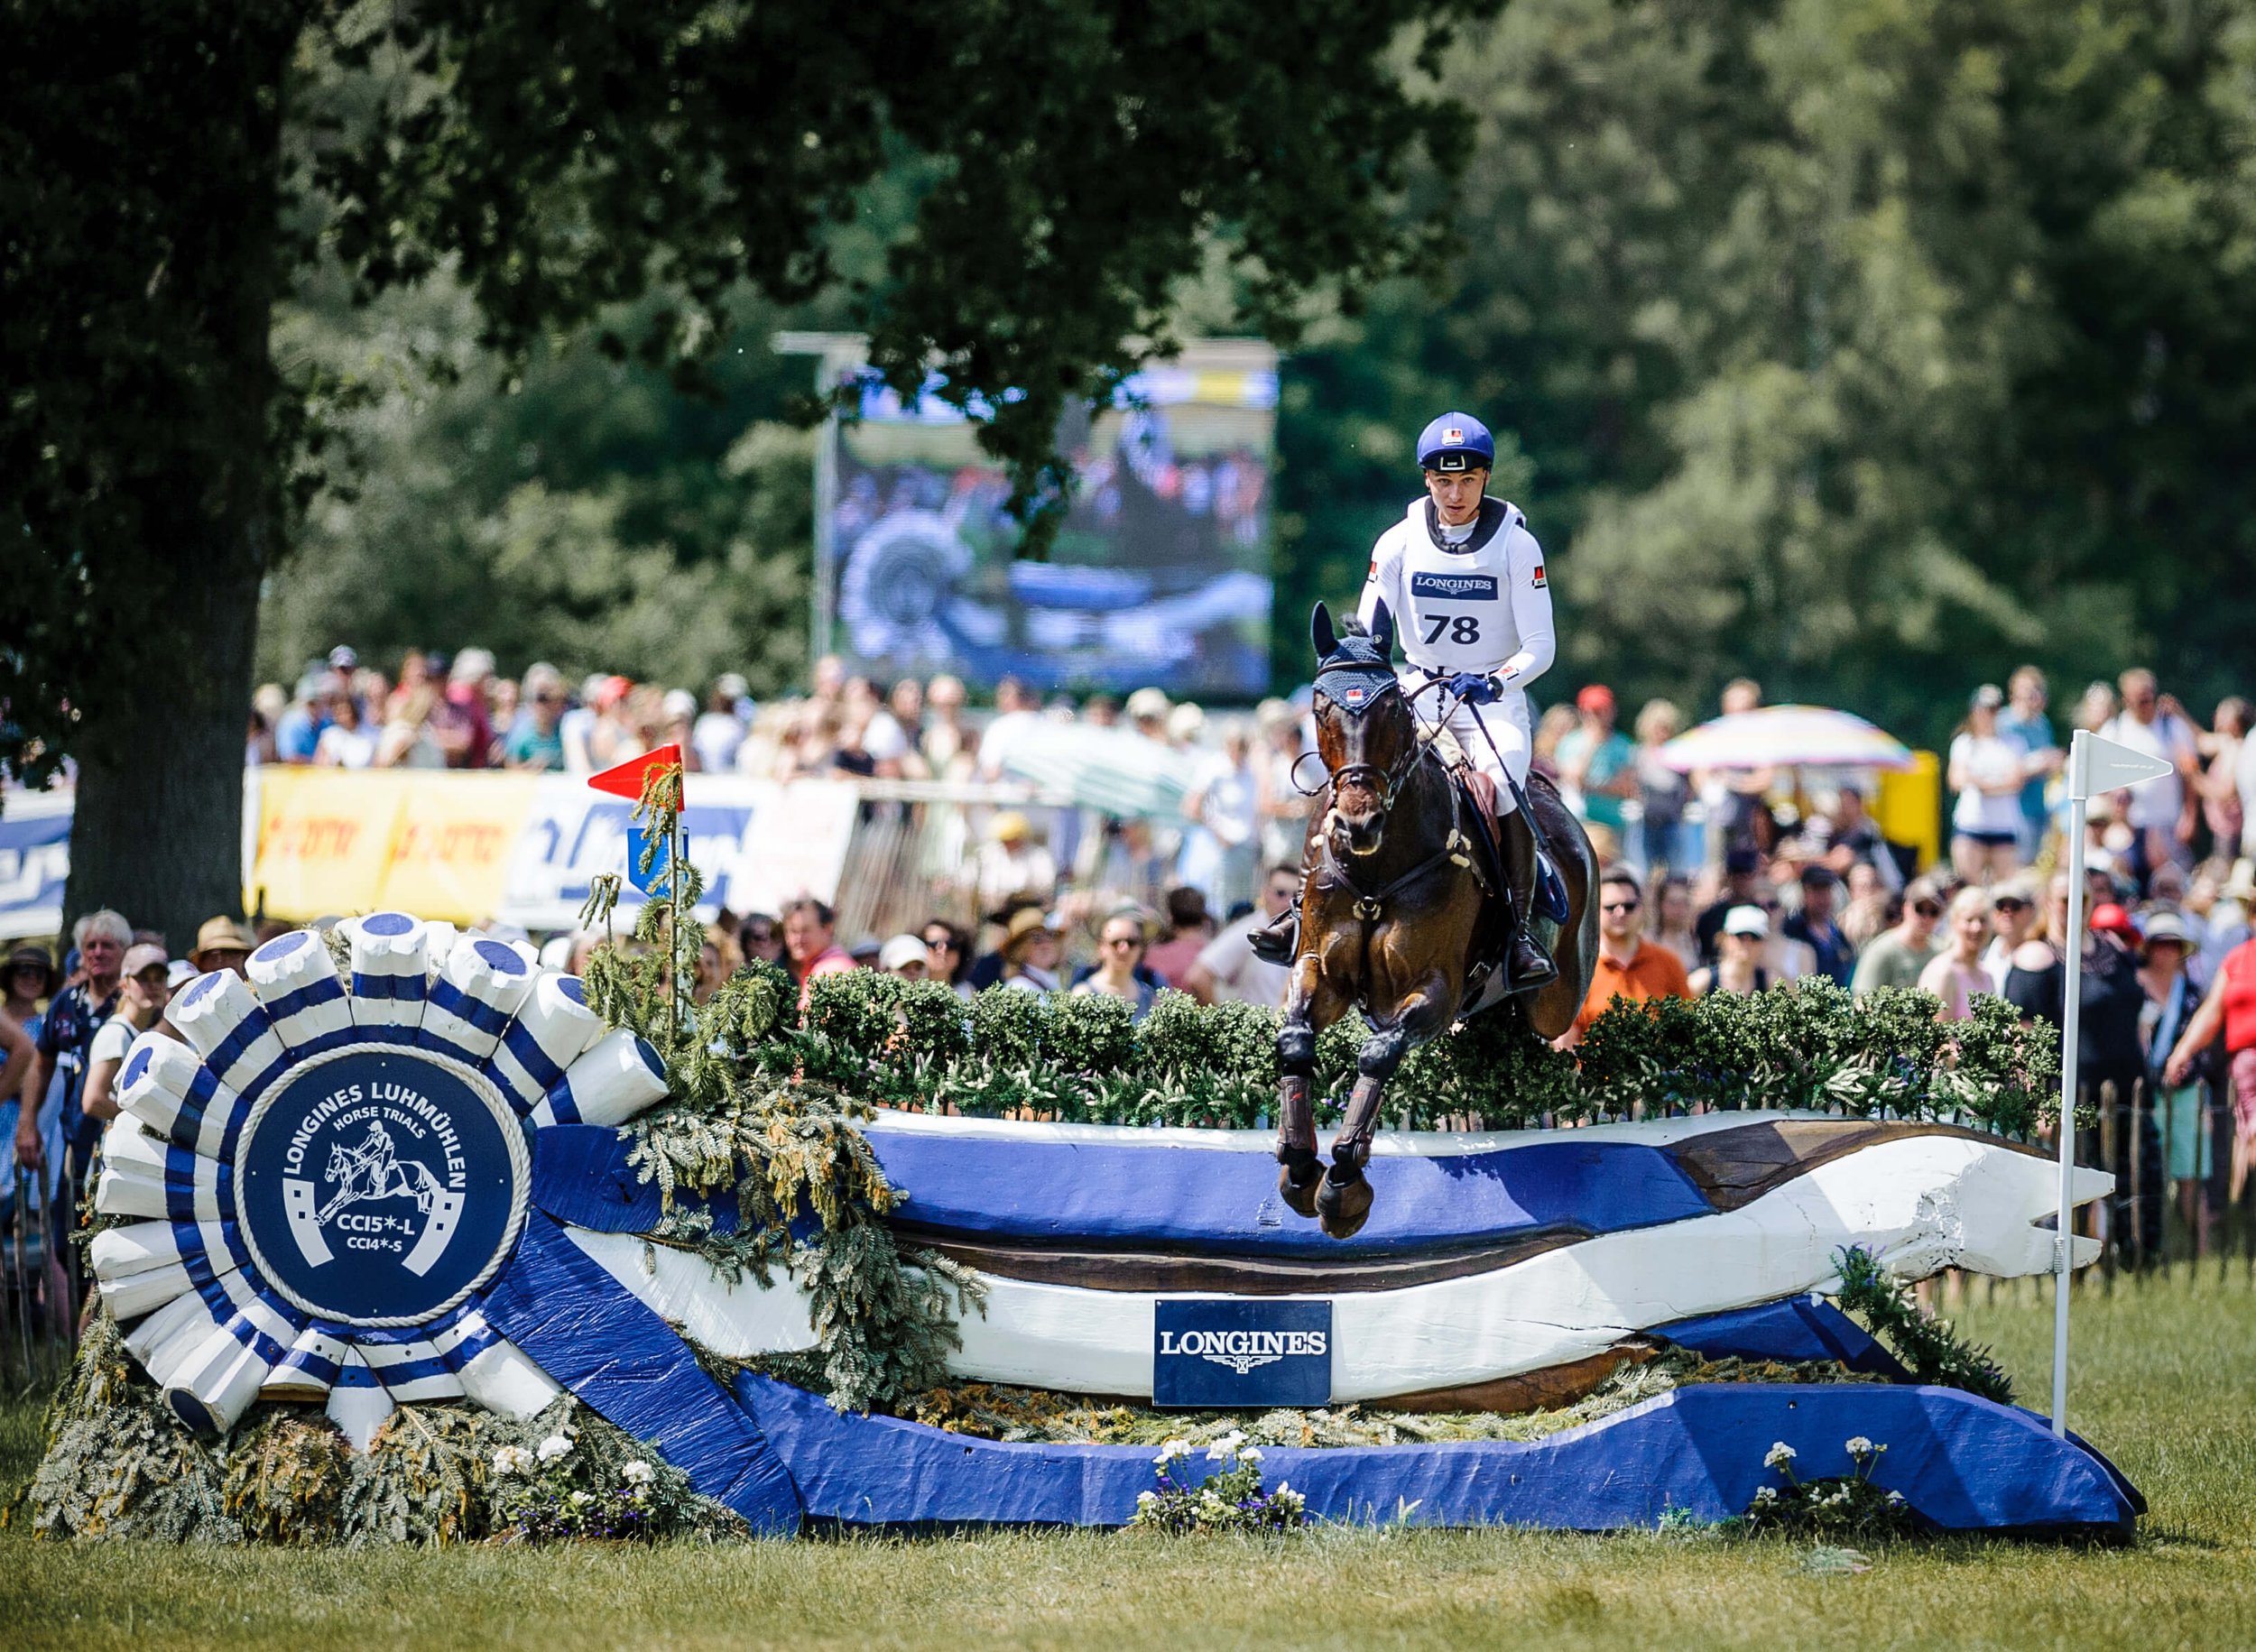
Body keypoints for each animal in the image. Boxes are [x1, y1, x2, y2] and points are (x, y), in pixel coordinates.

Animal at [1281, 600, 1597, 1236]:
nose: (1359, 823)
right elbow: (1296, 1040)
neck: (1378, 868)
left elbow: (1378, 1055)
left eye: (1392, 709)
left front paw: (1344, 1188)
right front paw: (1300, 1171)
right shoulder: (1320, 969)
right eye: (1321, 708)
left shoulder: (1437, 989)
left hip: (1557, 999)